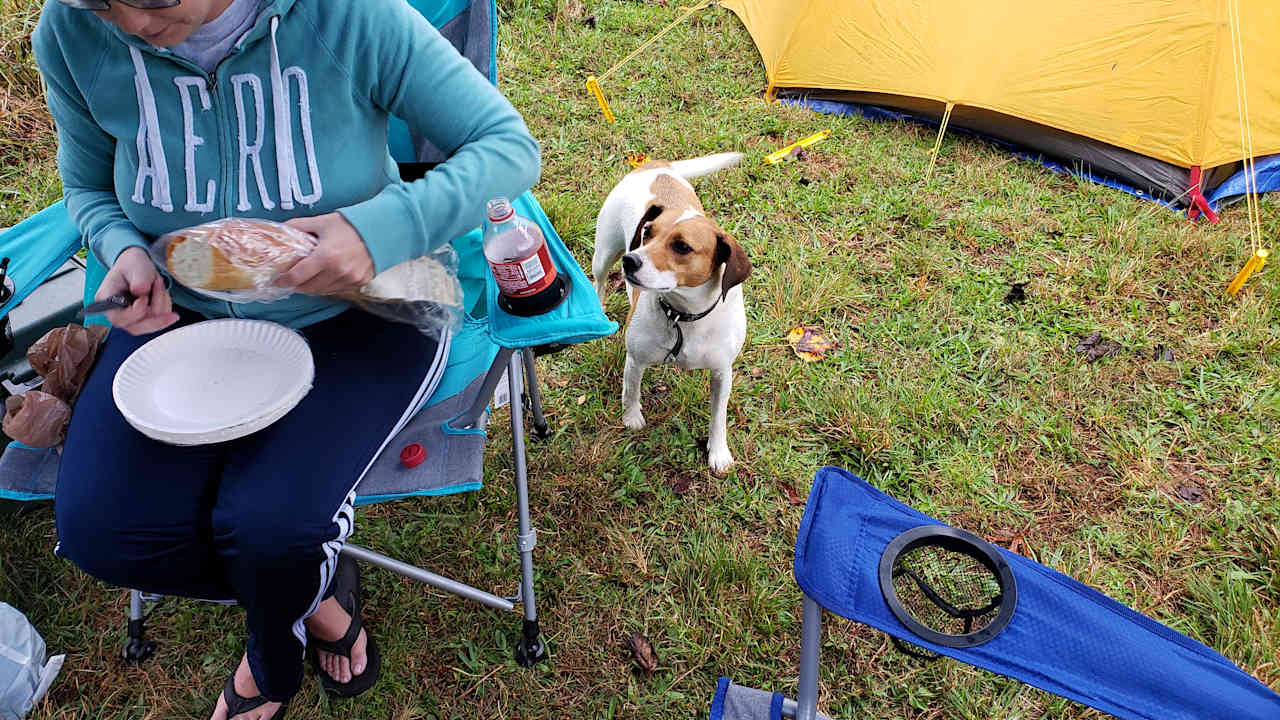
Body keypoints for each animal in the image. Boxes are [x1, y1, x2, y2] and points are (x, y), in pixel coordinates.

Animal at [591, 152, 747, 471]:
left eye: (682, 247)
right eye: (647, 233)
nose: (630, 261)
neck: (683, 315)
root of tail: (658, 166)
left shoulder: (722, 372)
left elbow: (718, 416)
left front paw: (718, 452)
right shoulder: (636, 359)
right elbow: (631, 391)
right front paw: (632, 418)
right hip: (604, 254)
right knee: (598, 282)